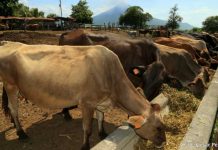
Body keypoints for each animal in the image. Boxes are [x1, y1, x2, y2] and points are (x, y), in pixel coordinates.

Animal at [0, 41, 166, 150]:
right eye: (158, 127)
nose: (163, 141)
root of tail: (8, 43)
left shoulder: (100, 102)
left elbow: (101, 118)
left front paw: (103, 134)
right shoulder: (87, 103)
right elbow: (87, 129)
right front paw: (85, 146)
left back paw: (15, 125)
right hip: (10, 85)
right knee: (13, 108)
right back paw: (21, 133)